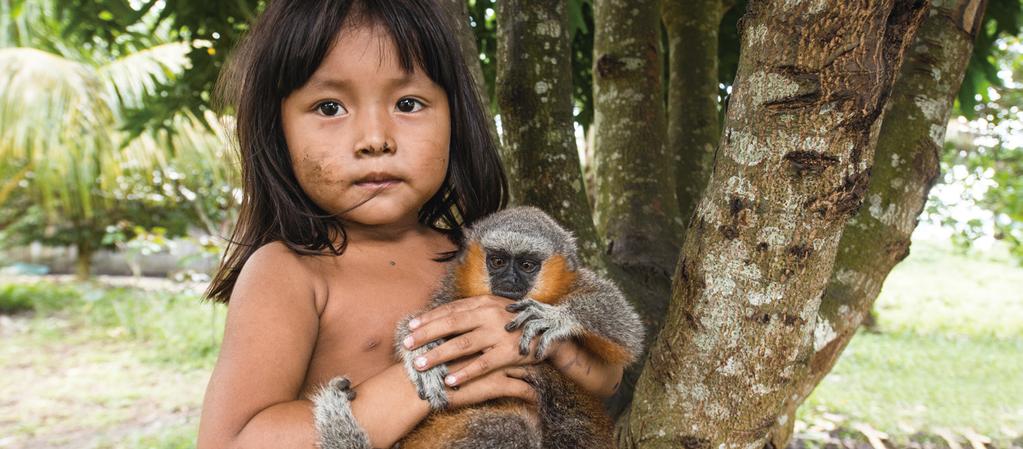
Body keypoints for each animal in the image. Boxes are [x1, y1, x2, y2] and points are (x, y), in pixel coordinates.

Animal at [306, 207, 642, 449]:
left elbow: (628, 331)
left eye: (527, 266)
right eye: (498, 261)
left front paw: (556, 317)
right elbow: (419, 324)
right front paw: (420, 348)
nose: (510, 280)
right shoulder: (452, 291)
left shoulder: (577, 281)